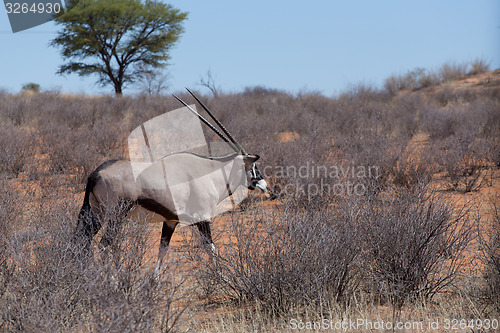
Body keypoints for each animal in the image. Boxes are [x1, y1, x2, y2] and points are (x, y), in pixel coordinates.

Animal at [75, 89, 270, 272]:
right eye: (253, 166)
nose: (264, 185)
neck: (210, 172)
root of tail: (96, 174)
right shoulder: (203, 217)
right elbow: (210, 247)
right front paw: (219, 275)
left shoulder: (170, 220)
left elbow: (163, 249)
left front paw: (154, 280)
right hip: (116, 216)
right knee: (104, 245)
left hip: (96, 213)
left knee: (83, 242)